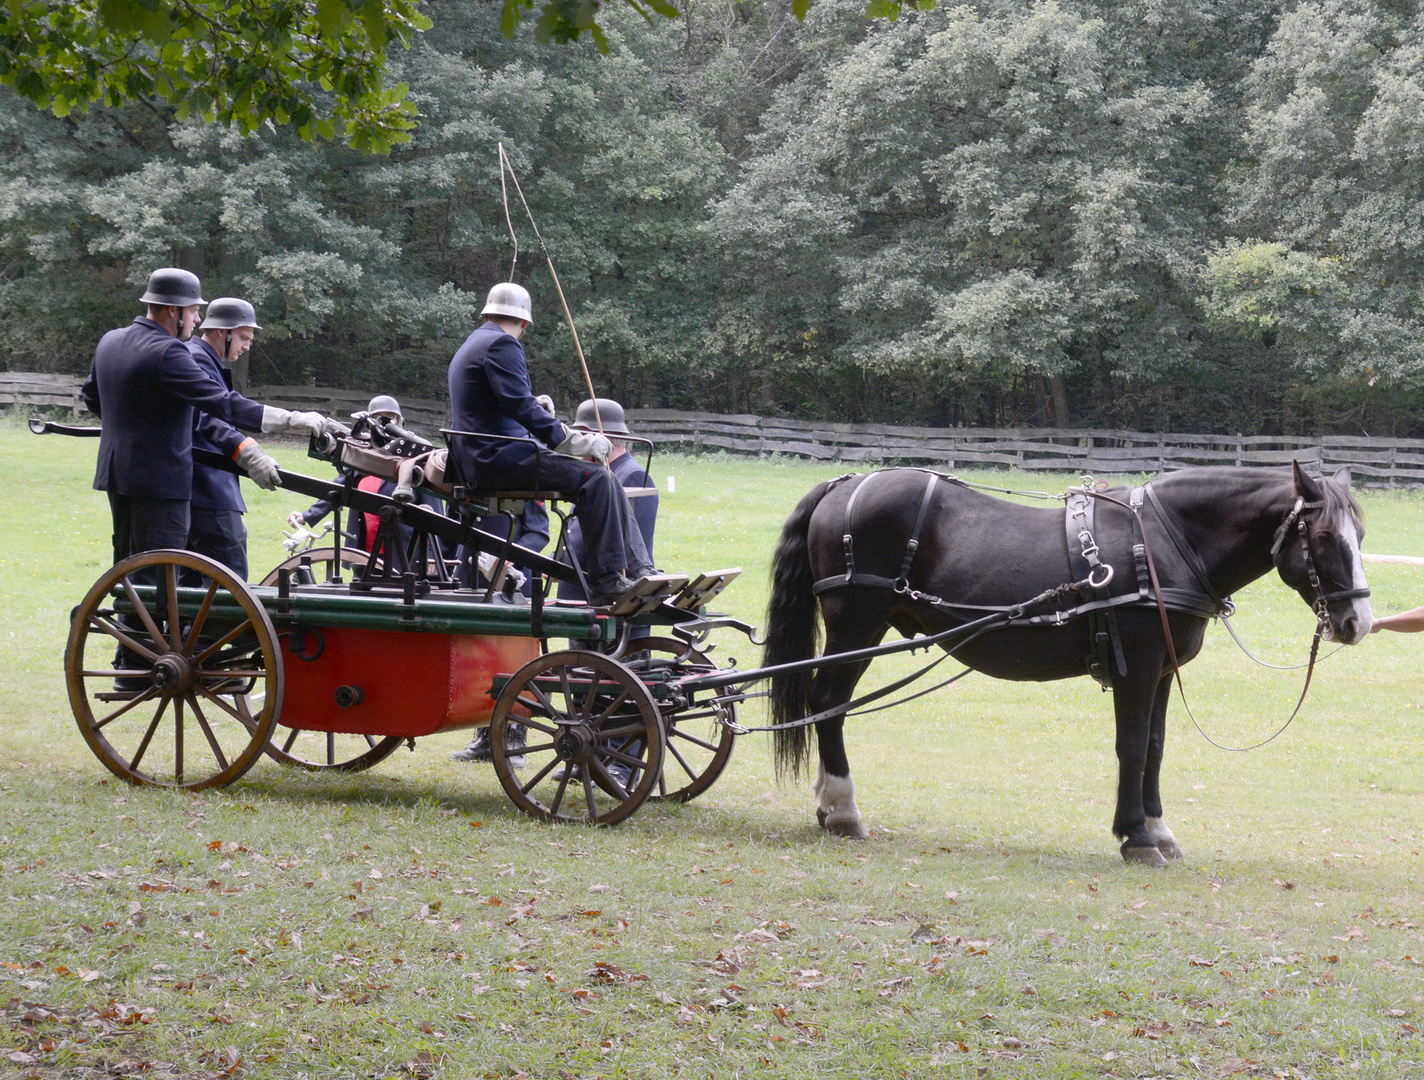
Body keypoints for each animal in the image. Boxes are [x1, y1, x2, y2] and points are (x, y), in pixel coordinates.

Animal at [763, 464, 1372, 871]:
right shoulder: (1137, 664)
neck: (1162, 545)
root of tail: (845, 485)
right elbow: (1132, 746)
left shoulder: (1162, 669)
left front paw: (1158, 829)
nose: (1358, 621)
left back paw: (828, 805)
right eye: (1322, 536)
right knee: (828, 704)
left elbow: (1155, 747)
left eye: (1360, 536)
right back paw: (843, 809)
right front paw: (1137, 837)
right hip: (855, 627)